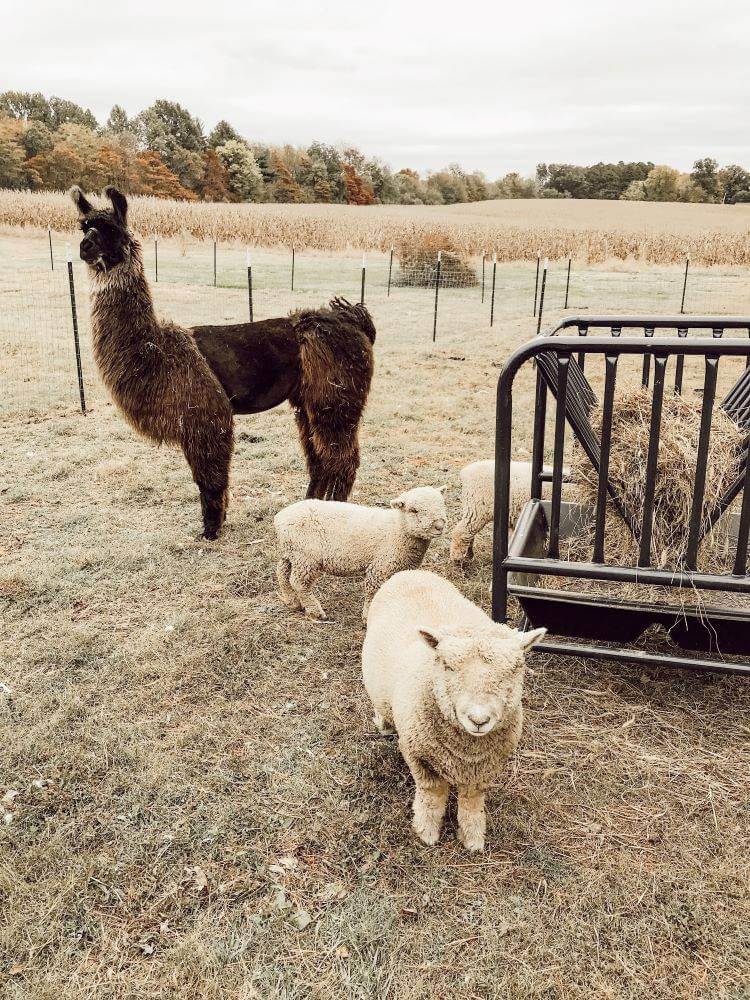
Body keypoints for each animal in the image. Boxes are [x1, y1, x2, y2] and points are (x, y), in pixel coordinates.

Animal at [274, 486, 446, 620]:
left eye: (442, 505)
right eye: (413, 510)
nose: (439, 526)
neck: (398, 529)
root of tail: (280, 519)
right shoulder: (379, 567)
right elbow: (374, 592)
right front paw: (369, 616)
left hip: (291, 553)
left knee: (282, 573)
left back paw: (292, 602)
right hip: (306, 556)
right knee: (299, 583)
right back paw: (315, 611)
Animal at [362, 572, 544, 852]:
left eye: (515, 668)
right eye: (447, 665)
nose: (479, 719)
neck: (467, 752)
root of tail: (410, 572)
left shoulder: (485, 769)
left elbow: (471, 801)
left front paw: (472, 837)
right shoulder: (419, 757)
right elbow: (432, 795)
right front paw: (426, 832)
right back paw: (384, 724)